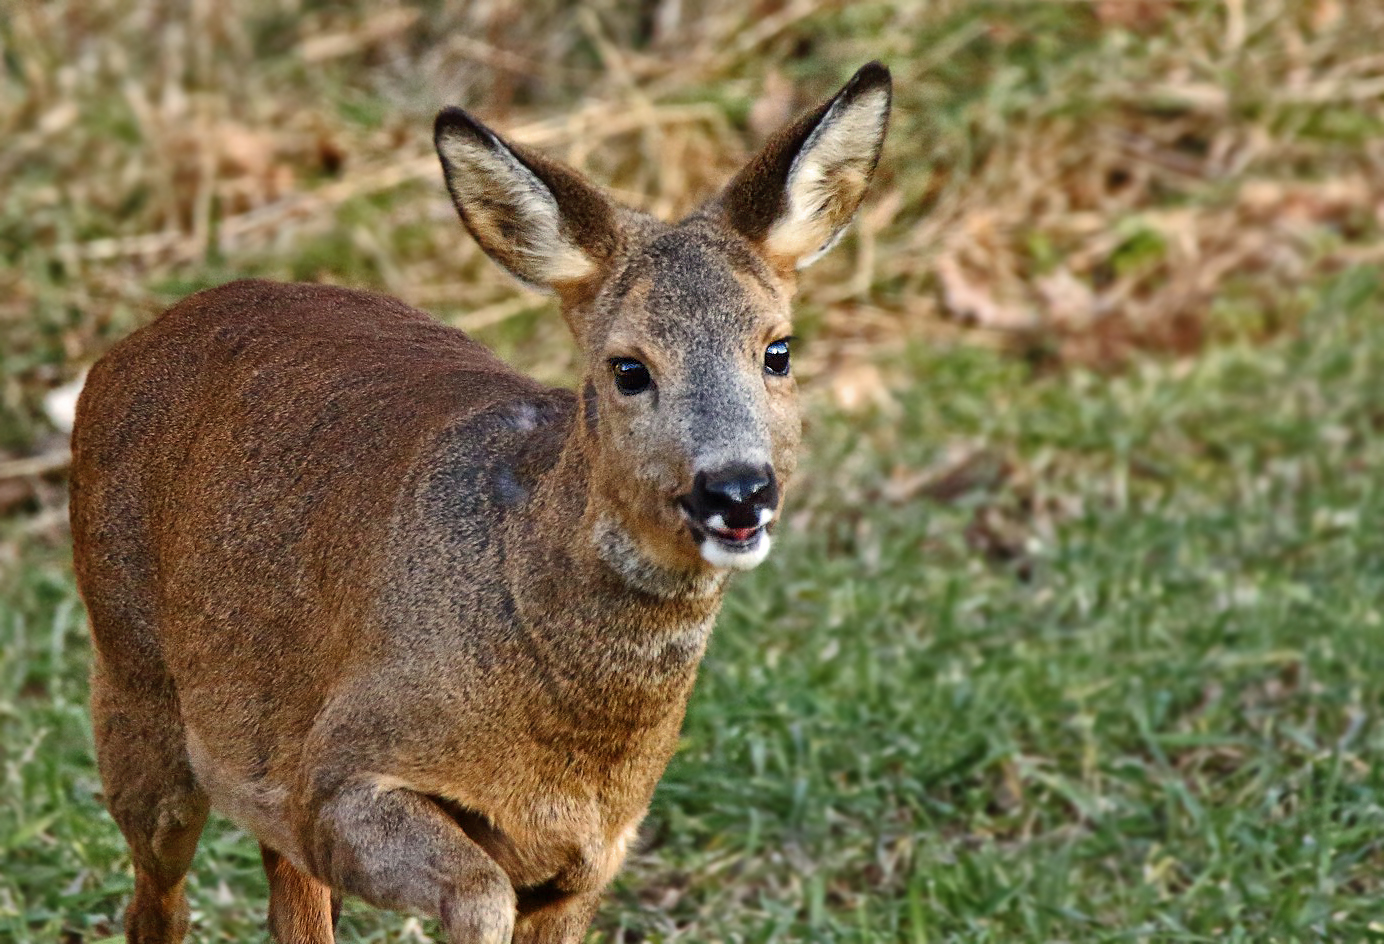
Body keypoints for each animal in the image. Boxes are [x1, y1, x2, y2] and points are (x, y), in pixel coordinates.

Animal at [73, 62, 896, 935]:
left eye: (778, 350)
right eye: (628, 368)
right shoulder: (336, 780)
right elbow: (478, 890)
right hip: (132, 680)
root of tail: (126, 348)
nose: (736, 488)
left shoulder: (591, 860)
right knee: (156, 895)